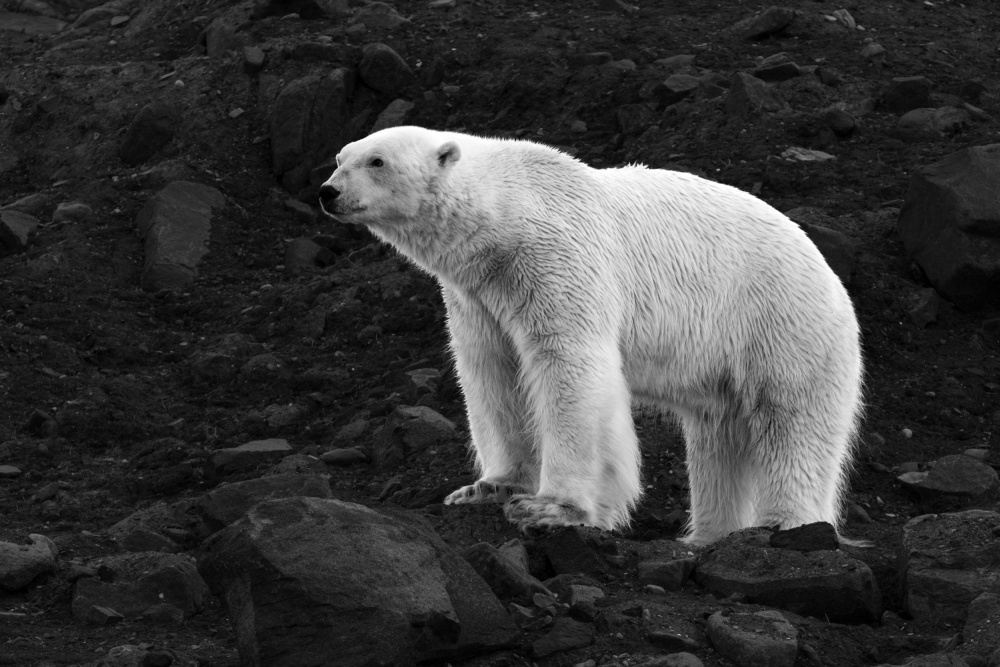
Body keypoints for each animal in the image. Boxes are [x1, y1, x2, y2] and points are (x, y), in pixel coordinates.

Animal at [316, 126, 864, 548]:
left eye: (377, 161)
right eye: (340, 157)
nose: (327, 191)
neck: (507, 214)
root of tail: (830, 274)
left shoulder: (558, 259)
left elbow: (569, 368)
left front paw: (552, 509)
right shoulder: (479, 298)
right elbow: (494, 374)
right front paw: (485, 489)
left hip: (781, 324)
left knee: (791, 422)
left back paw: (782, 527)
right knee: (718, 438)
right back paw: (705, 537)